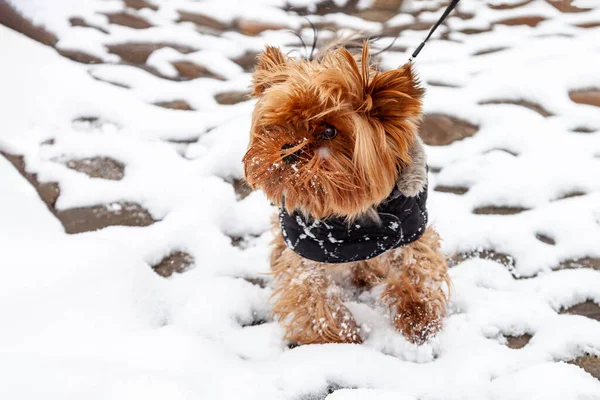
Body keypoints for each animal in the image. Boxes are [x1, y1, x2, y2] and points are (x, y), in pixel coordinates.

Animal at [244, 43, 450, 344]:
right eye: (279, 123)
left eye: (329, 130)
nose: (287, 148)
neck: (349, 212)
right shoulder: (306, 243)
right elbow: (311, 290)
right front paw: (336, 338)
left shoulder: (410, 226)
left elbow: (416, 265)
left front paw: (419, 318)